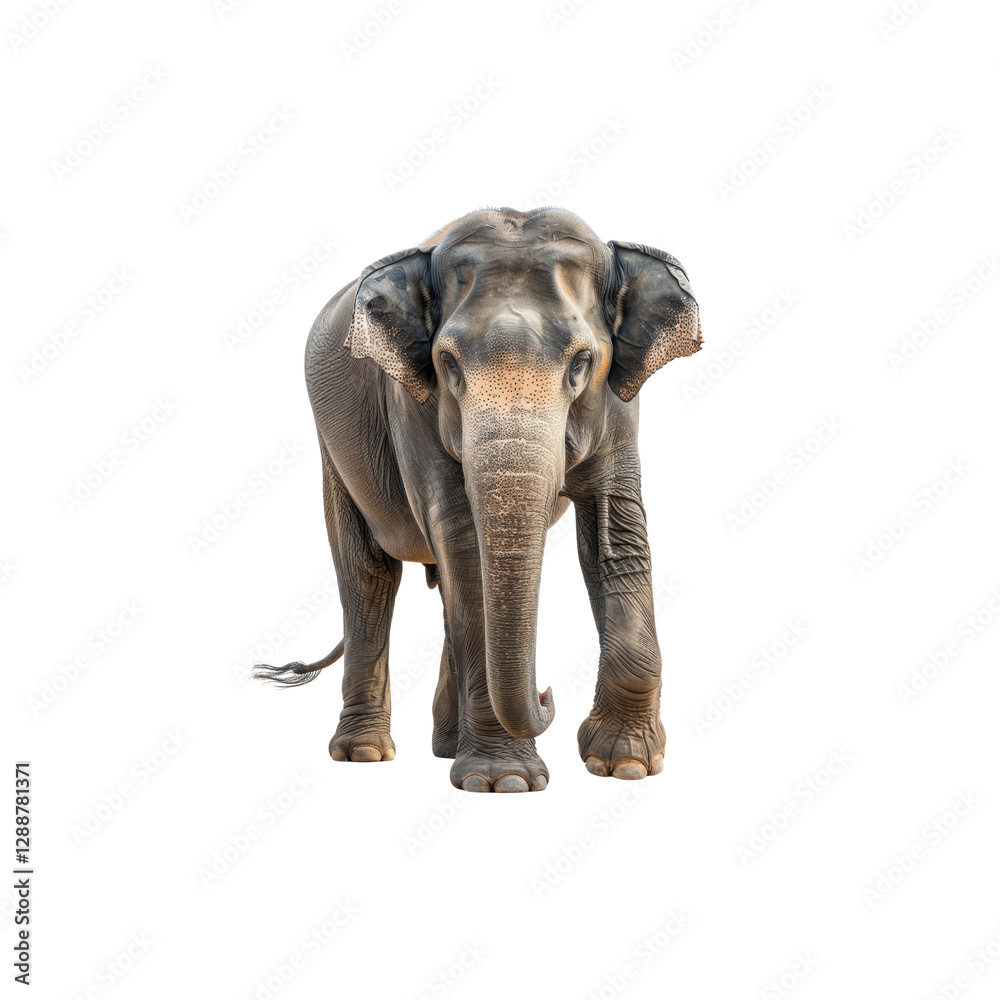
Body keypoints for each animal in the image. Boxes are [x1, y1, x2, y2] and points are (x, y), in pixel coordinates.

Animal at [254, 207, 703, 792]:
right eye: (448, 363)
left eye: (582, 361)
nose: (546, 692)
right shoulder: (413, 404)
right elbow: (464, 546)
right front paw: (504, 781)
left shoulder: (620, 407)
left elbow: (617, 539)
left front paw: (625, 765)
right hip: (333, 448)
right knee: (368, 575)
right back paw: (365, 754)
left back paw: (444, 746)